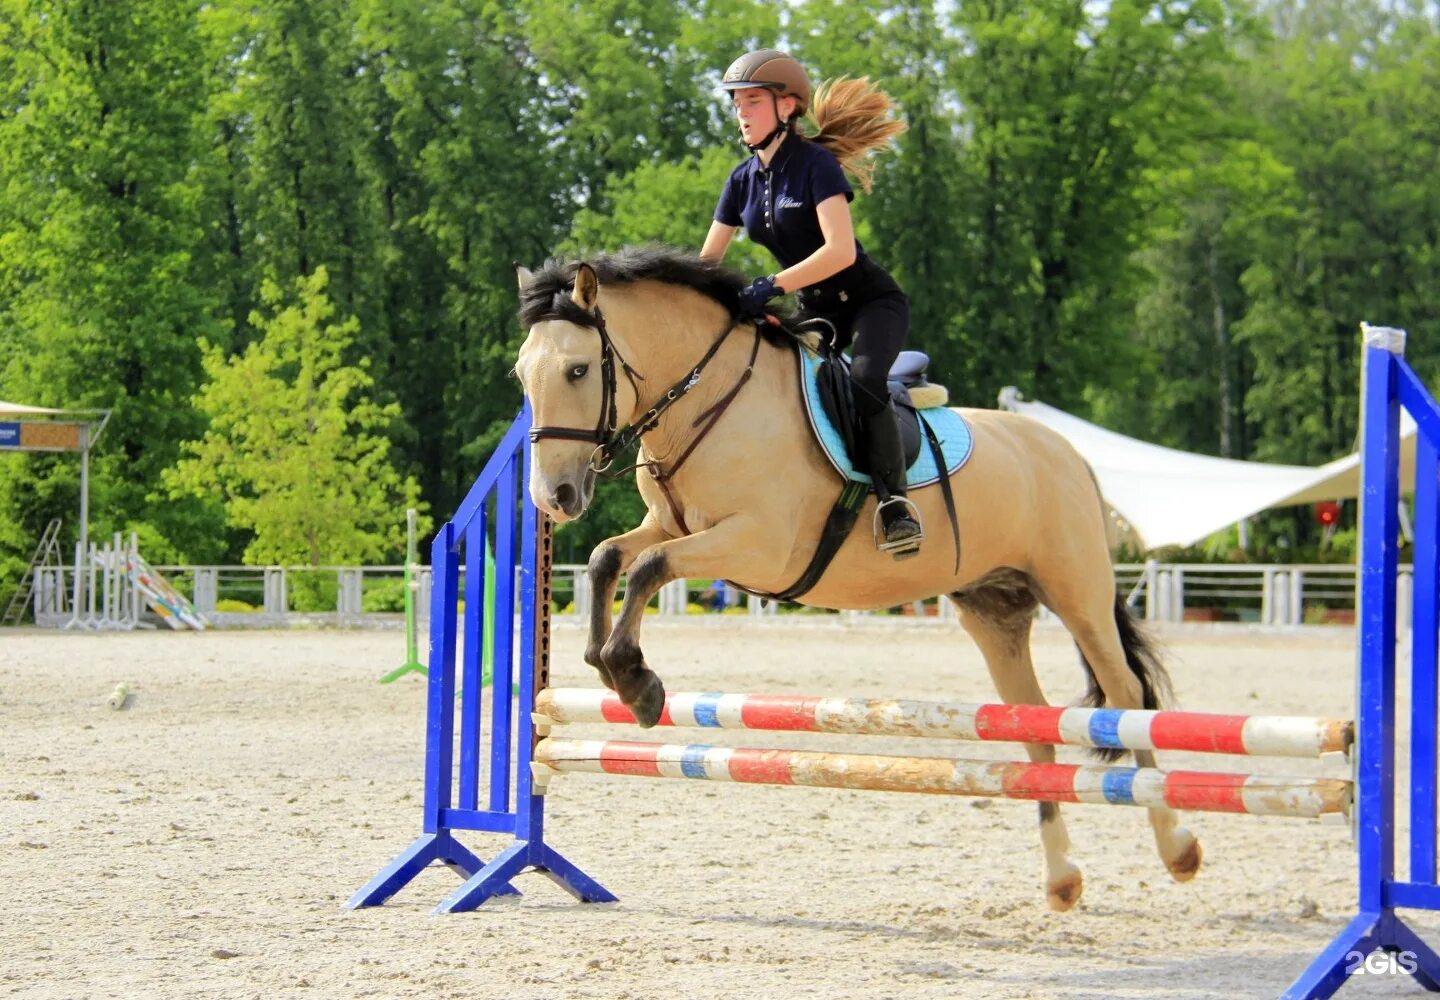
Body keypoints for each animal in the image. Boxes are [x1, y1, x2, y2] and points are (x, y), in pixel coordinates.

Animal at [512, 246, 1198, 910]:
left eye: (578, 370)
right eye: (522, 375)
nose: (553, 497)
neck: (711, 402)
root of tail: (1066, 451)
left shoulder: (757, 546)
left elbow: (650, 569)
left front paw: (636, 681)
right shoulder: (668, 526)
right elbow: (607, 558)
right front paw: (611, 666)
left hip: (1076, 590)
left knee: (1127, 698)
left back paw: (1179, 850)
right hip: (994, 609)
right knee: (1032, 727)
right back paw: (1062, 882)